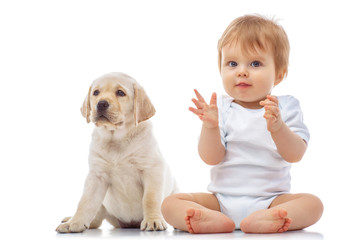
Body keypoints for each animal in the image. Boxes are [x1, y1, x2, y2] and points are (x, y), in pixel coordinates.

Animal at [56, 72, 179, 232]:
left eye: (120, 93)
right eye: (96, 92)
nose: (101, 104)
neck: (117, 138)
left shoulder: (152, 170)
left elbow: (150, 199)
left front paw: (153, 220)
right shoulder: (97, 176)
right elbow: (85, 201)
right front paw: (74, 222)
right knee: (95, 219)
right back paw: (71, 219)